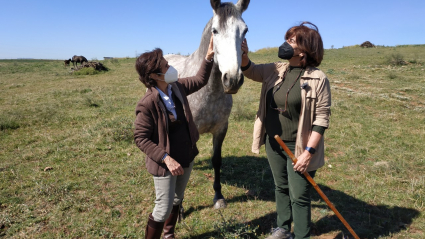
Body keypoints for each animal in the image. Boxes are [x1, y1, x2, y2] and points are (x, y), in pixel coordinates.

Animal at [163, 0, 248, 209]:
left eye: (245, 30)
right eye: (215, 31)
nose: (232, 79)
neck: (209, 92)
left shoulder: (221, 129)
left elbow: (216, 160)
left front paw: (218, 197)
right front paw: (179, 206)